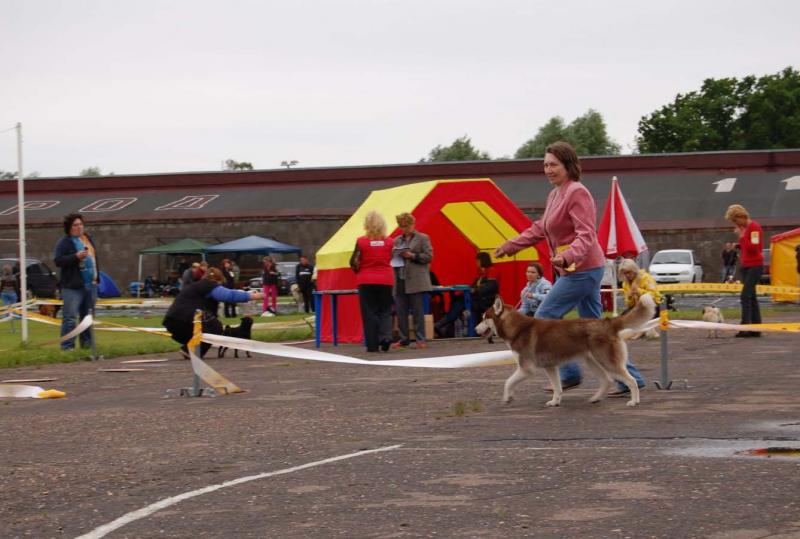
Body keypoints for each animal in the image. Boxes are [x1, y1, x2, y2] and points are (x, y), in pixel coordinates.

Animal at [475, 293, 656, 407]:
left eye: (484, 318)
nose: (476, 329)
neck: (518, 329)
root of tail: (607, 321)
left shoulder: (526, 368)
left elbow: (508, 382)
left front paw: (507, 398)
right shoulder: (550, 367)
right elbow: (558, 388)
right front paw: (555, 402)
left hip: (606, 361)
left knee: (631, 380)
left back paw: (634, 401)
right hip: (592, 362)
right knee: (606, 381)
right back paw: (595, 398)